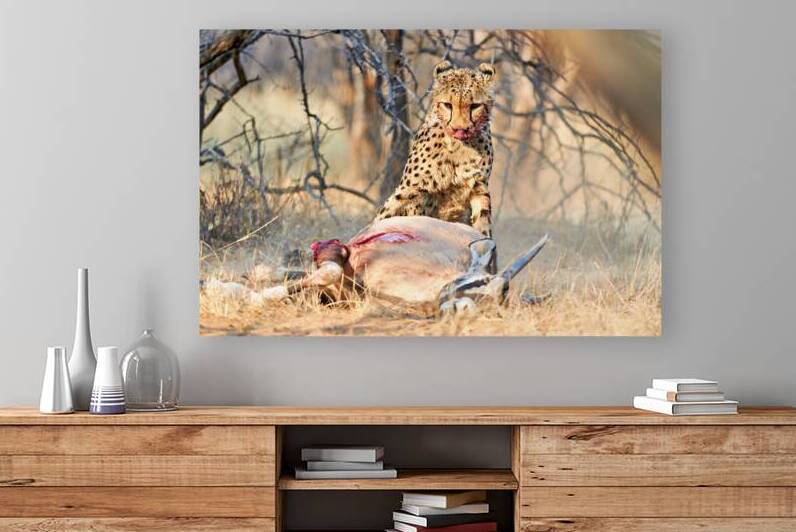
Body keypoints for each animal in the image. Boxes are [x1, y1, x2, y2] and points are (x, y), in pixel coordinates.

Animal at [374, 60, 497, 240]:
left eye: (475, 106)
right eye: (447, 105)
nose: (460, 129)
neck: (458, 147)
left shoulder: (478, 186)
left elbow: (483, 217)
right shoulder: (415, 190)